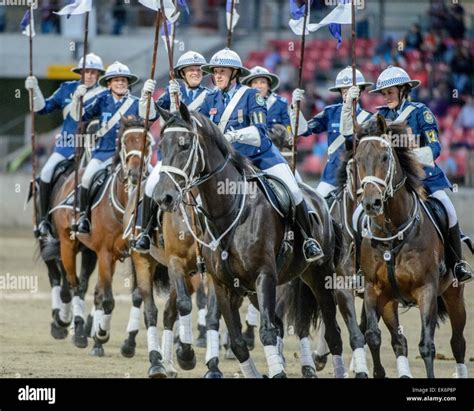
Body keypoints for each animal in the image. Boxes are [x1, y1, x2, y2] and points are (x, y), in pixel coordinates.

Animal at [52, 117, 153, 356]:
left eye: (148, 141)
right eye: (125, 141)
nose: (136, 173)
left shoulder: (134, 253)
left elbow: (136, 295)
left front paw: (127, 343)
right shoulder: (106, 254)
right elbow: (107, 300)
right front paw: (101, 336)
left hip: (92, 252)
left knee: (91, 289)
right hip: (68, 244)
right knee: (74, 284)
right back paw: (77, 331)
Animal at [154, 105, 342, 380]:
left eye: (184, 145)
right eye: (161, 145)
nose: (163, 197)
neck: (229, 209)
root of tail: (319, 199)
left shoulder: (264, 276)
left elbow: (267, 332)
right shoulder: (221, 284)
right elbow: (237, 341)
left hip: (320, 277)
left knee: (332, 332)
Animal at [356, 114, 466, 378]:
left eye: (385, 157)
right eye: (357, 159)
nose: (371, 203)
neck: (392, 234)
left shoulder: (426, 290)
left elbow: (427, 345)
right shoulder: (375, 290)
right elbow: (374, 336)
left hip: (454, 294)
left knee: (458, 343)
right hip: (391, 301)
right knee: (398, 341)